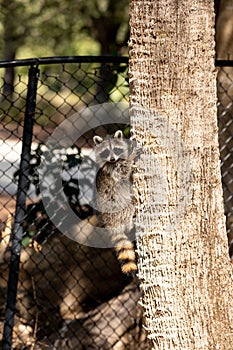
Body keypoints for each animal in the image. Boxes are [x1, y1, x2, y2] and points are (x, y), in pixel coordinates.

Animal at [93, 130, 140, 274]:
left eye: (116, 149)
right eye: (106, 152)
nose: (113, 159)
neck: (115, 161)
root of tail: (109, 222)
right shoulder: (113, 169)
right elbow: (125, 169)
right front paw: (132, 156)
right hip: (117, 208)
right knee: (129, 205)